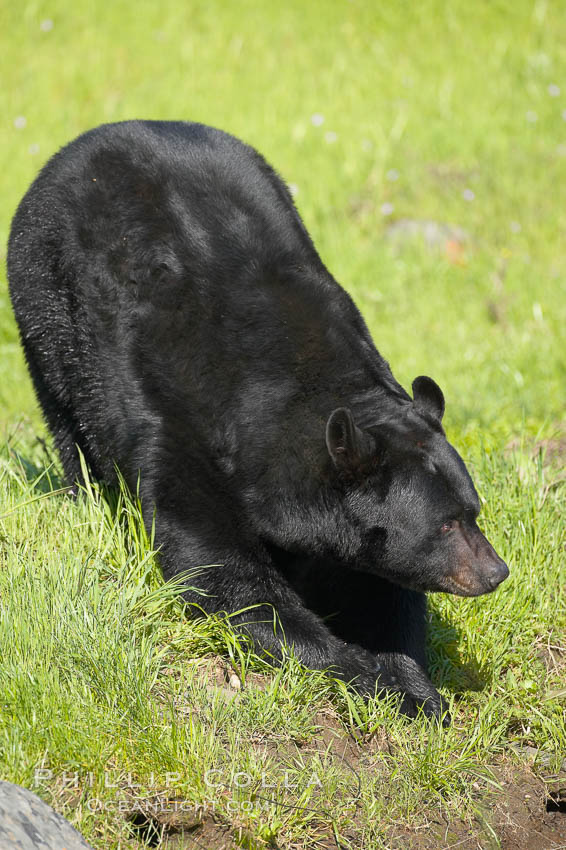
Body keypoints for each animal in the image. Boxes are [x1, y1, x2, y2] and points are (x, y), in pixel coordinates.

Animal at [6, 119, 510, 716]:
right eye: (446, 523)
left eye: (473, 510)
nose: (496, 572)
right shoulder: (180, 428)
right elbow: (224, 575)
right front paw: (373, 675)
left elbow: (377, 589)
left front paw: (411, 677)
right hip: (45, 303)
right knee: (70, 425)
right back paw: (84, 494)